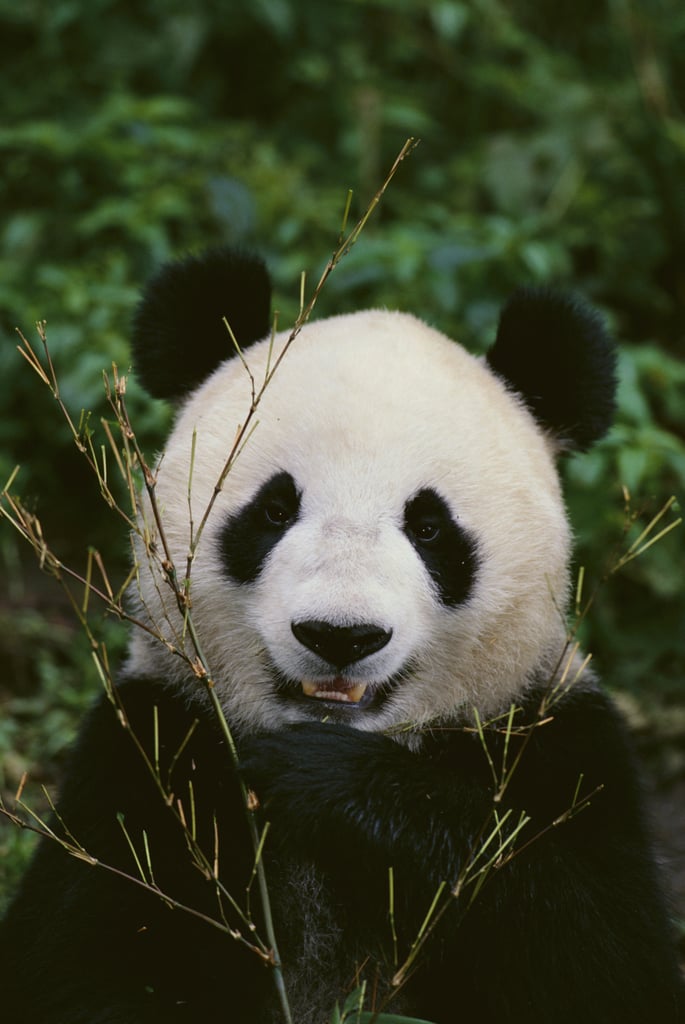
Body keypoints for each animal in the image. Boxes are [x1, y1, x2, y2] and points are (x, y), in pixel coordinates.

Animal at [1, 249, 683, 1024]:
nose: (340, 635)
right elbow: (82, 964)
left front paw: (326, 781)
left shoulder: (556, 739)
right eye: (273, 510)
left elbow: (592, 950)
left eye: (429, 528)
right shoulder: (150, 749)